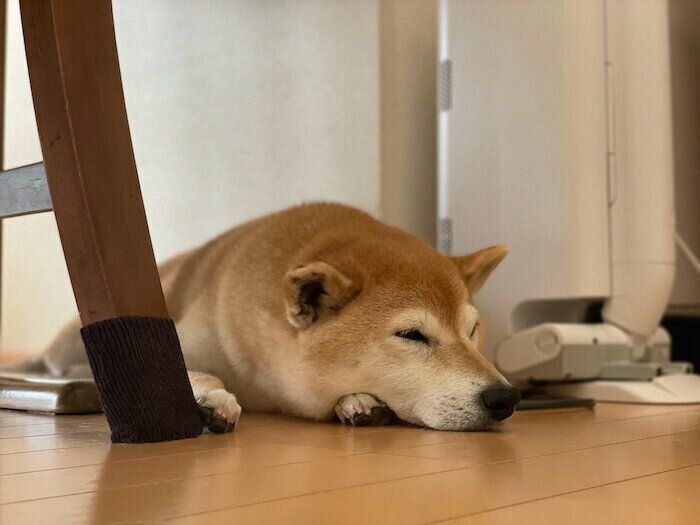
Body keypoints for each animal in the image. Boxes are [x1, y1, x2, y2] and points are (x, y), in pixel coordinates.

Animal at [23, 203, 519, 432]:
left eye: (473, 331)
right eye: (412, 334)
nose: (506, 397)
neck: (268, 382)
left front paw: (357, 400)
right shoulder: (164, 346)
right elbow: (194, 373)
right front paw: (213, 399)